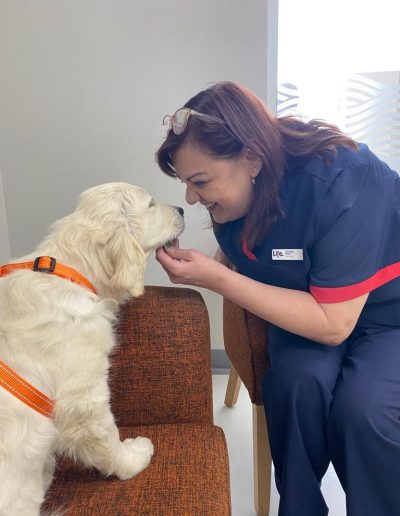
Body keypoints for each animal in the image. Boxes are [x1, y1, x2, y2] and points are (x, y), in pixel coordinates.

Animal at [0, 182, 185, 516]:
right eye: (151, 204)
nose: (182, 209)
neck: (71, 271)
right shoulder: (83, 400)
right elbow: (107, 437)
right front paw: (133, 458)